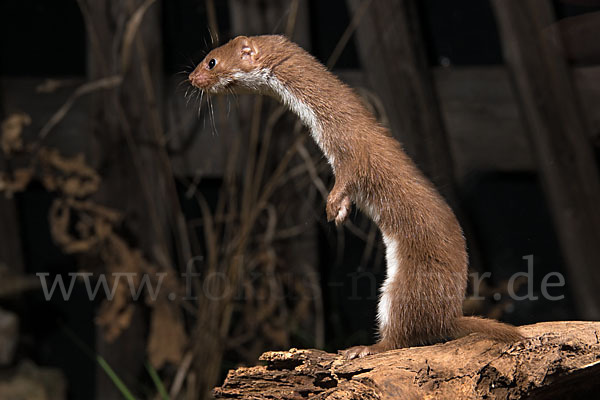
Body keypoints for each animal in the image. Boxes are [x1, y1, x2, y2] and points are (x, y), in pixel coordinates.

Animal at [190, 35, 524, 360]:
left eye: (211, 61)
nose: (192, 78)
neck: (326, 126)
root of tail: (450, 316)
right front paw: (340, 211)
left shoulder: (353, 154)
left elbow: (349, 179)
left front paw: (331, 206)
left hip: (402, 288)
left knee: (402, 334)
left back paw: (364, 348)